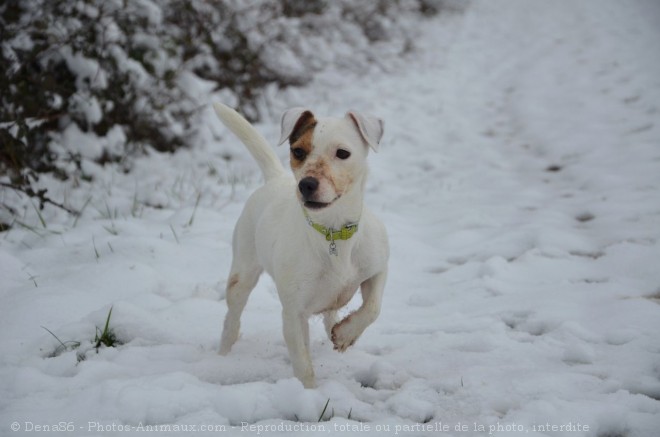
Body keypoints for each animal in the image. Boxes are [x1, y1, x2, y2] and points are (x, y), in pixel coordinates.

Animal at [211, 103, 386, 388]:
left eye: (343, 153)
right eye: (298, 151)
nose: (307, 184)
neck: (332, 233)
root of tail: (275, 178)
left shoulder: (378, 268)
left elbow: (373, 307)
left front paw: (346, 334)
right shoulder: (294, 314)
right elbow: (303, 363)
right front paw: (310, 394)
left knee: (331, 313)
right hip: (242, 275)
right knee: (232, 319)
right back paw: (223, 356)